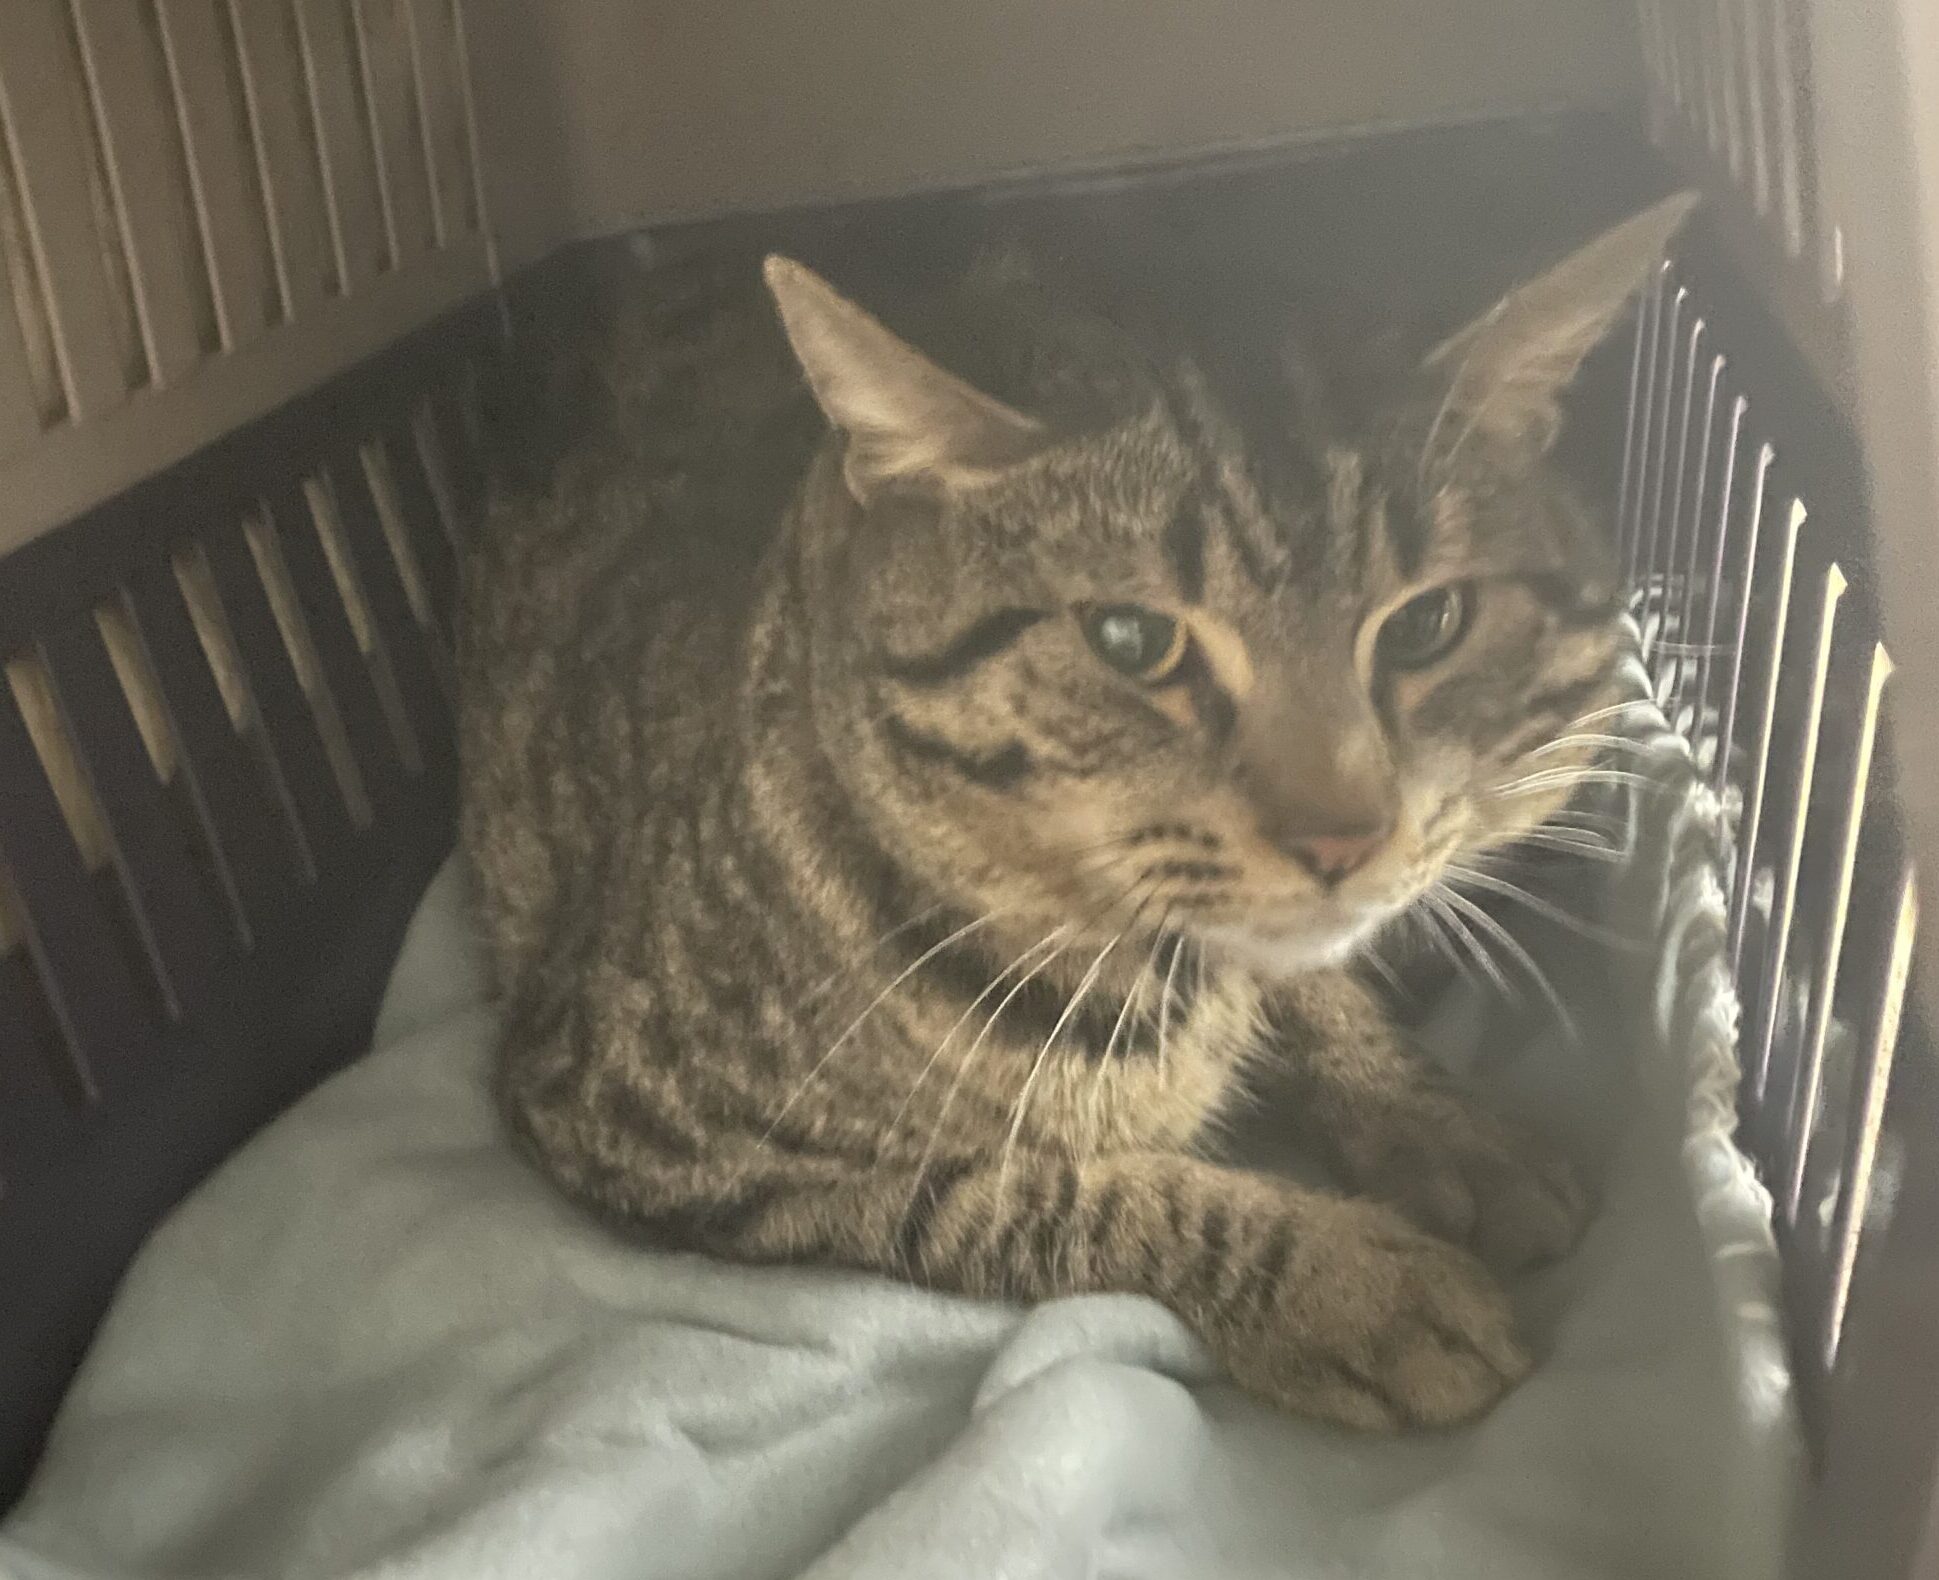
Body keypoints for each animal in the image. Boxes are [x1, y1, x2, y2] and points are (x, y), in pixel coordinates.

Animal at [459, 190, 1695, 1430]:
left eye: (1427, 622)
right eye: (1133, 640)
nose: (1345, 836)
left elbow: (1318, 998)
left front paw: (1436, 1120)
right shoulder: (668, 1139)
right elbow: (1066, 1194)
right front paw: (1356, 1283)